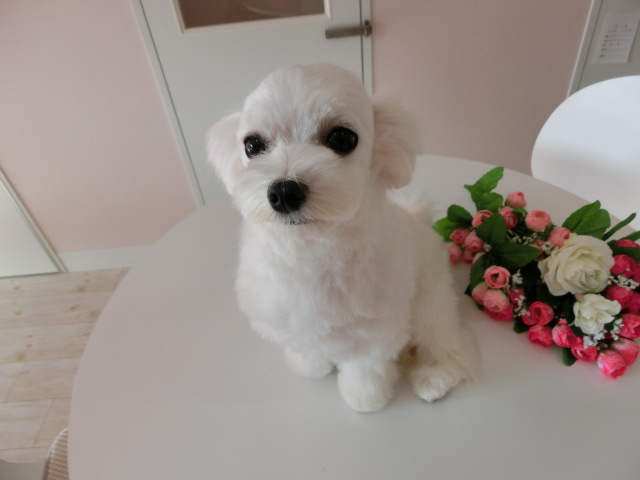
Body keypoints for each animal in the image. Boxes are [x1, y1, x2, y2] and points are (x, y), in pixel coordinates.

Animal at [207, 64, 476, 412]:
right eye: (252, 145)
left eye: (342, 138)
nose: (284, 191)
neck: (311, 252)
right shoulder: (291, 320)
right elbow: (308, 348)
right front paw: (309, 366)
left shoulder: (376, 332)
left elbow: (365, 368)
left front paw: (365, 397)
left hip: (430, 300)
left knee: (446, 341)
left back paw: (435, 376)